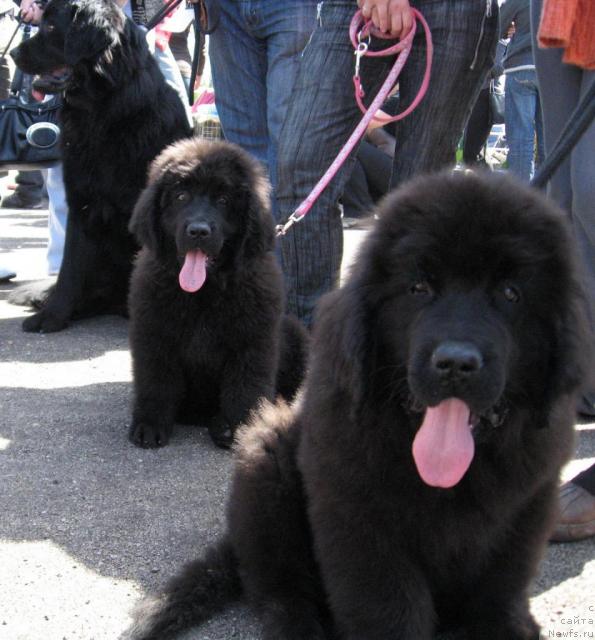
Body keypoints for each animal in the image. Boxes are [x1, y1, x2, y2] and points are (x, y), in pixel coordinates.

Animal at [10, 1, 191, 336]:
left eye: (51, 28)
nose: (13, 53)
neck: (103, 113)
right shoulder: (81, 202)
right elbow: (69, 267)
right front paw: (53, 315)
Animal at [129, 139, 310, 450]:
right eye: (181, 196)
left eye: (224, 200)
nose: (199, 231)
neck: (205, 292)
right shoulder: (153, 335)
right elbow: (156, 382)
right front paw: (149, 425)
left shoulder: (252, 342)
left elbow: (245, 388)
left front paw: (242, 429)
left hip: (296, 336)